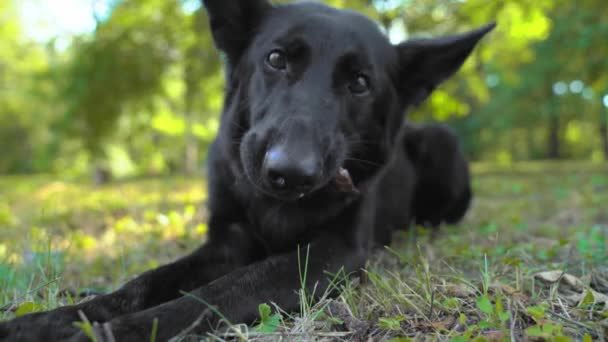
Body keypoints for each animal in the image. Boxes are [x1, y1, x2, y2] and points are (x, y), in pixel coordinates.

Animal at [0, 1, 494, 340]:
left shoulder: (330, 254)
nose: (289, 172)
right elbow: (144, 282)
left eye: (360, 83)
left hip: (442, 143)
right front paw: (52, 320)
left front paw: (107, 333)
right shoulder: (225, 243)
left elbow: (216, 294)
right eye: (276, 59)